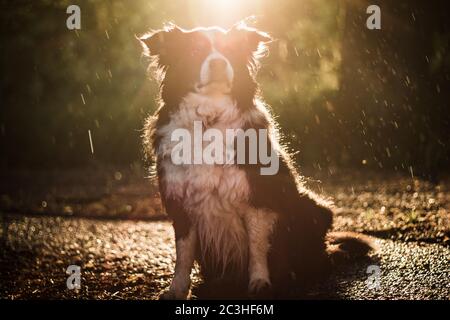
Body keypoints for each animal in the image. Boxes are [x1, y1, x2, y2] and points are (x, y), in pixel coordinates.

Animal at [139, 23, 370, 300]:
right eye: (195, 51)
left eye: (229, 50)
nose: (218, 63)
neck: (209, 120)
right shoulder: (180, 202)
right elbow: (183, 255)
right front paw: (177, 289)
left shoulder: (258, 196)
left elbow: (257, 245)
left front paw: (260, 282)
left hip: (313, 208)